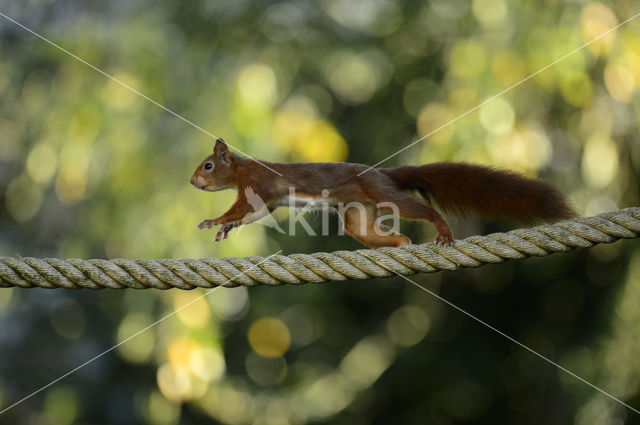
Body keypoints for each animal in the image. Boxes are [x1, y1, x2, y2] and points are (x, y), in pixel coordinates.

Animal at [190, 137, 576, 248]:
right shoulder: (266, 201)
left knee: (419, 209)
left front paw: (214, 221)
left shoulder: (254, 183)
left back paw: (440, 229)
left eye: (208, 166)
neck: (239, 168)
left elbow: (239, 208)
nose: (193, 182)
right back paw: (398, 244)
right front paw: (226, 228)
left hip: (379, 193)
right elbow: (254, 214)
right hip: (358, 213)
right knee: (367, 230)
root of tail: (380, 173)